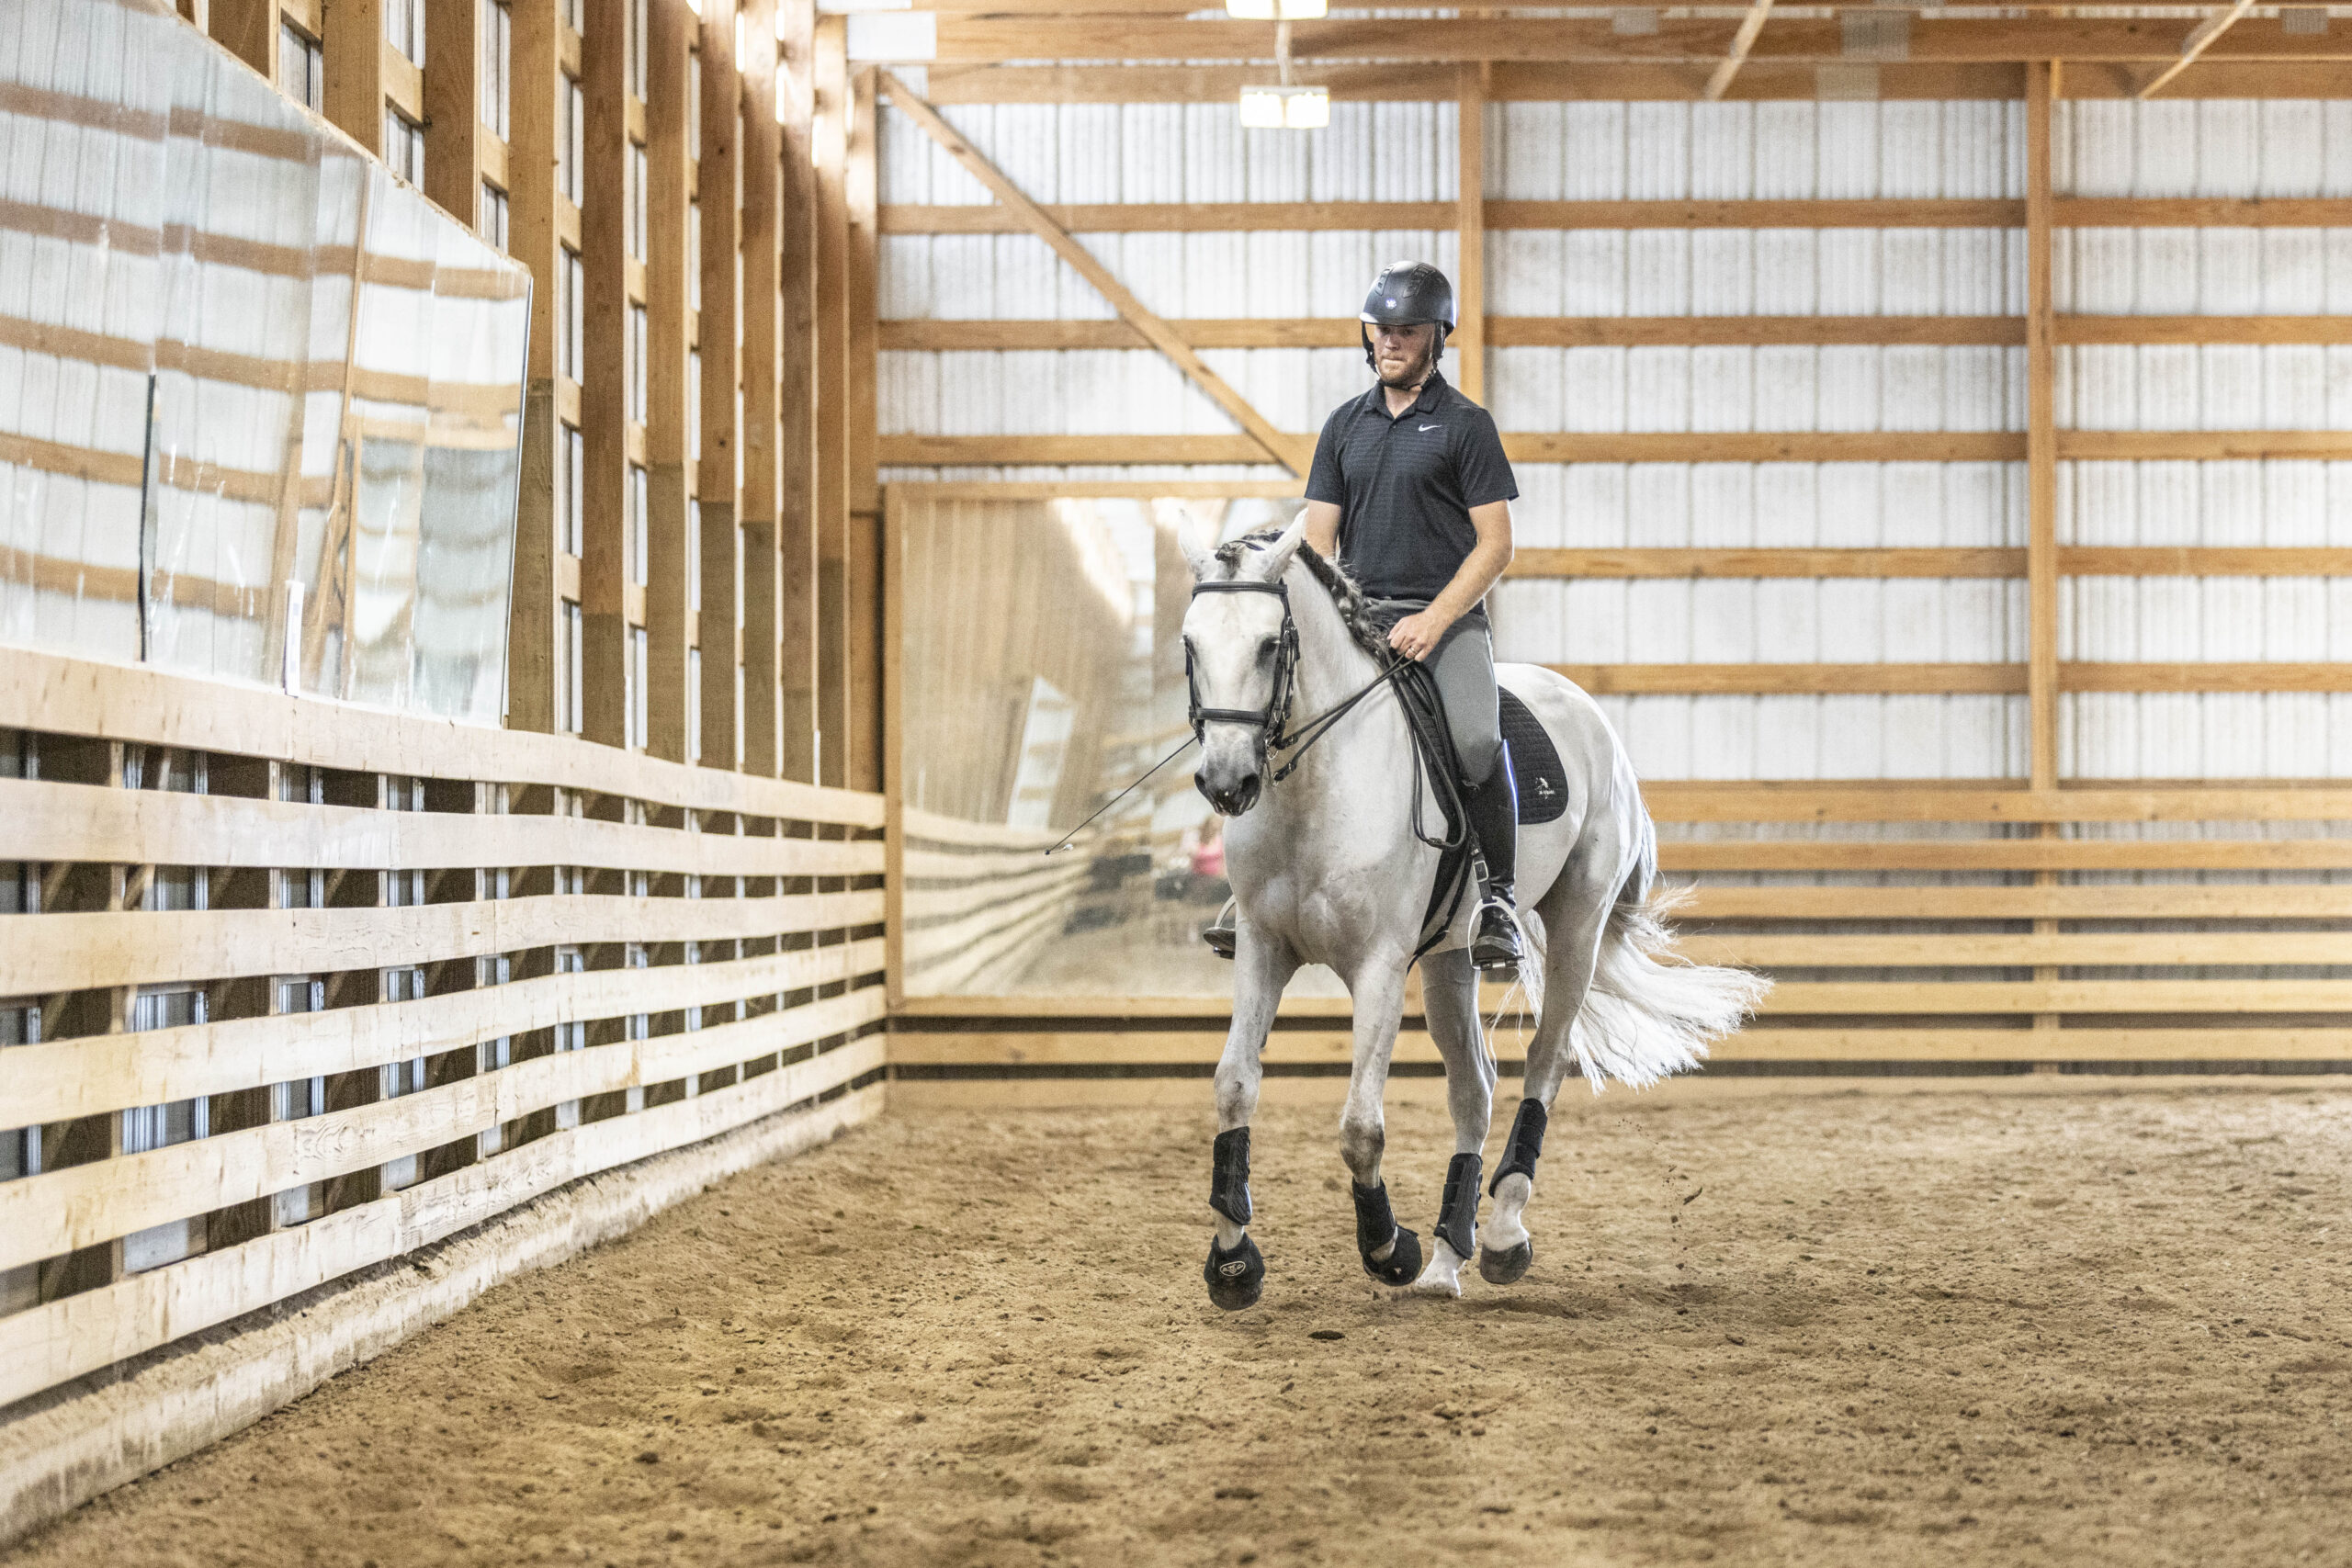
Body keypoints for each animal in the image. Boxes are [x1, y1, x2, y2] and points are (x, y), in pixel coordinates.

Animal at [1181, 516, 1769, 1308]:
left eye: (1270, 645)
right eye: (1191, 644)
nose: (1226, 782)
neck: (1316, 788)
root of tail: (1585, 709)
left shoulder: (1379, 964)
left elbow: (1361, 1126)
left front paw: (1387, 1247)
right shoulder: (1262, 947)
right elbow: (1234, 1086)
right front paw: (1234, 1260)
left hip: (1576, 924)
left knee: (1545, 1061)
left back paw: (1498, 1236)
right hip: (1450, 956)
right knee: (1475, 1089)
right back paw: (1445, 1257)